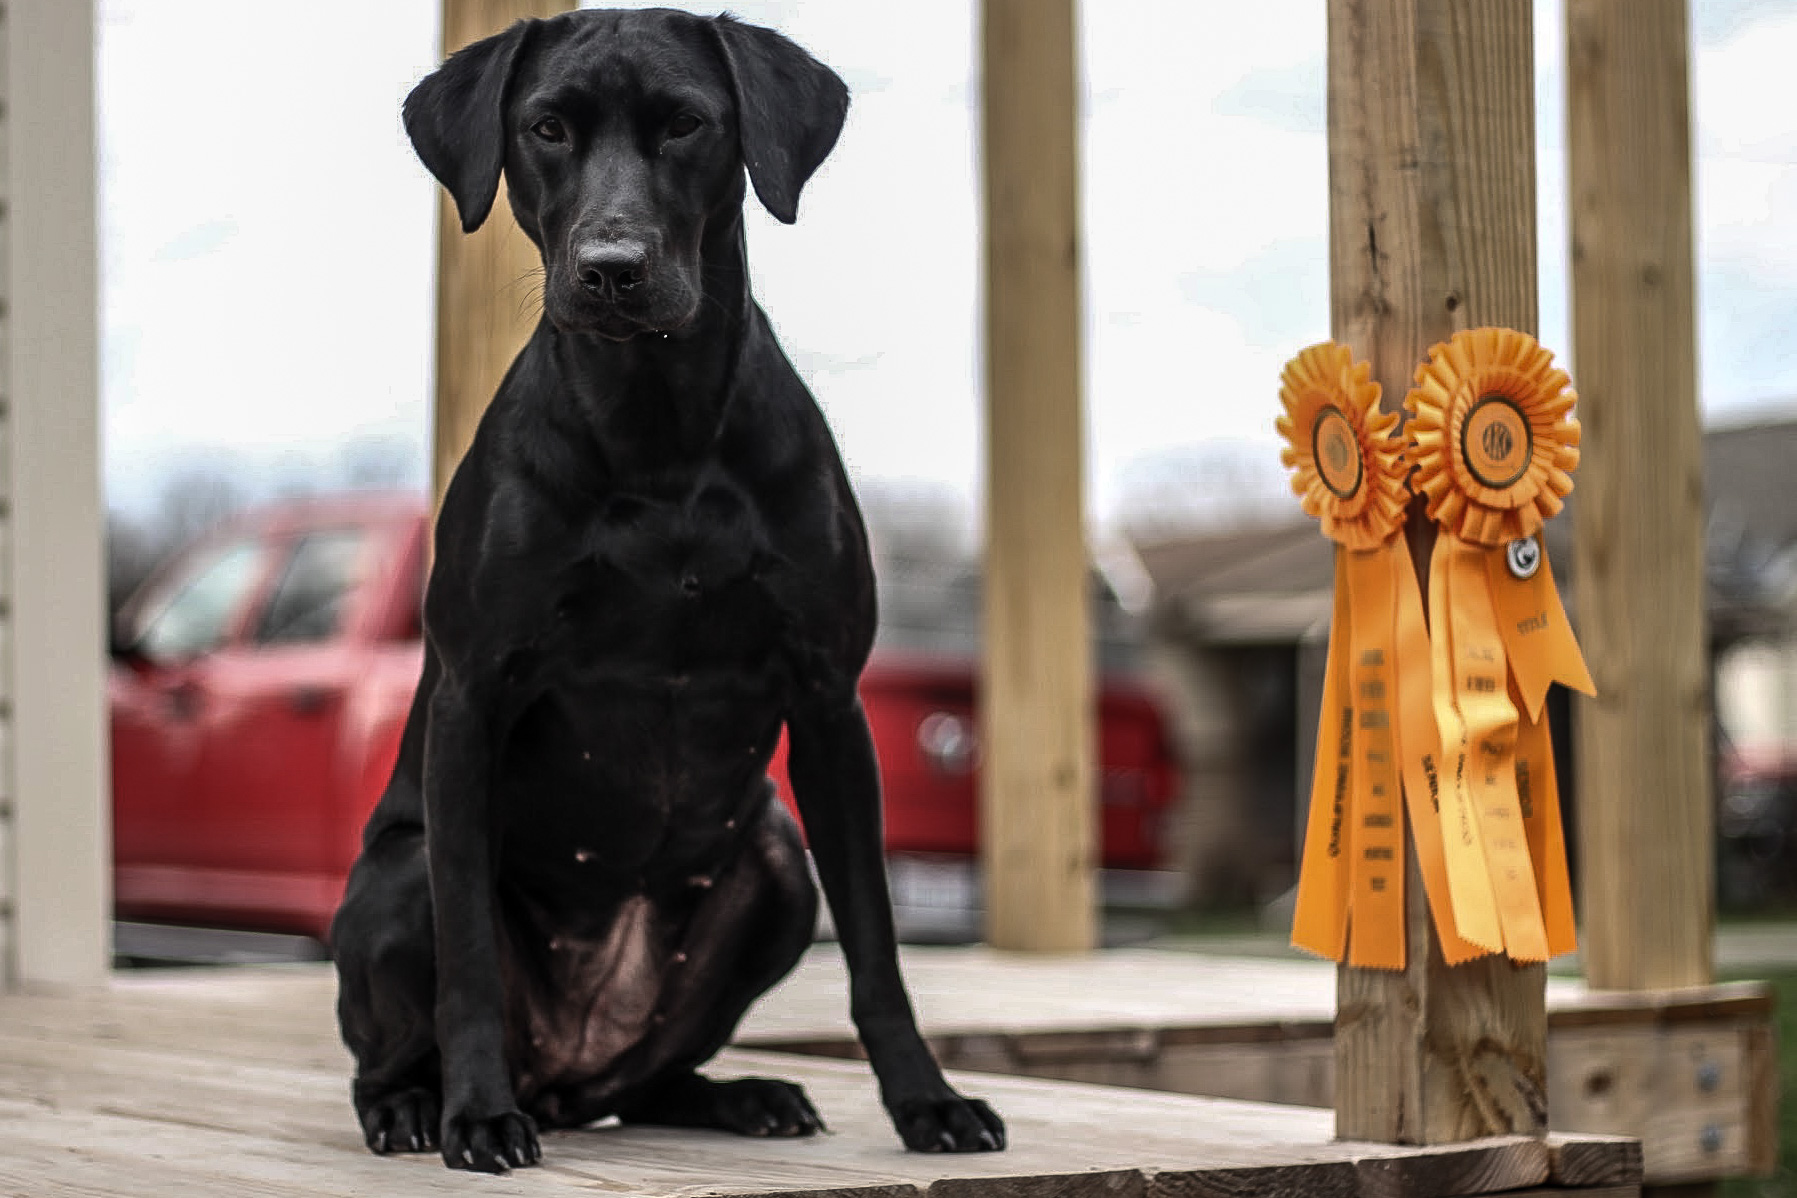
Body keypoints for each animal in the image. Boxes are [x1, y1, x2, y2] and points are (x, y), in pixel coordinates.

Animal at [330, 4, 1006, 1178]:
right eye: (546, 127)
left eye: (687, 124)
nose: (612, 266)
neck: (657, 425)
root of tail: (567, 1070)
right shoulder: (470, 697)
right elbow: (468, 951)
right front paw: (474, 1115)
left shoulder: (830, 703)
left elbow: (877, 949)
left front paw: (927, 1101)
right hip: (391, 882)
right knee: (393, 1042)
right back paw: (419, 1105)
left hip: (778, 865)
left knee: (652, 1080)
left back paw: (746, 1094)